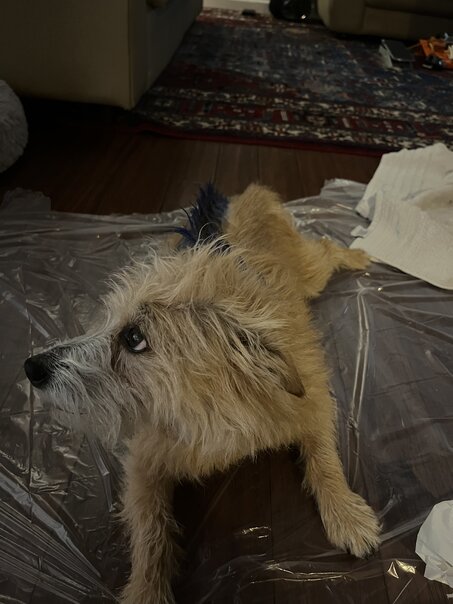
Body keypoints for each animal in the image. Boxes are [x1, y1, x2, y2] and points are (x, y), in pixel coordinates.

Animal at [24, 184, 381, 604]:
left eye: (133, 338)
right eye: (106, 322)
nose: (31, 367)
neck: (208, 411)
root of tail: (245, 193)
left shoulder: (313, 403)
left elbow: (325, 459)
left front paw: (346, 514)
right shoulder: (143, 461)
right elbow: (150, 529)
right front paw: (146, 589)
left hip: (310, 271)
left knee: (325, 247)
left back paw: (358, 255)